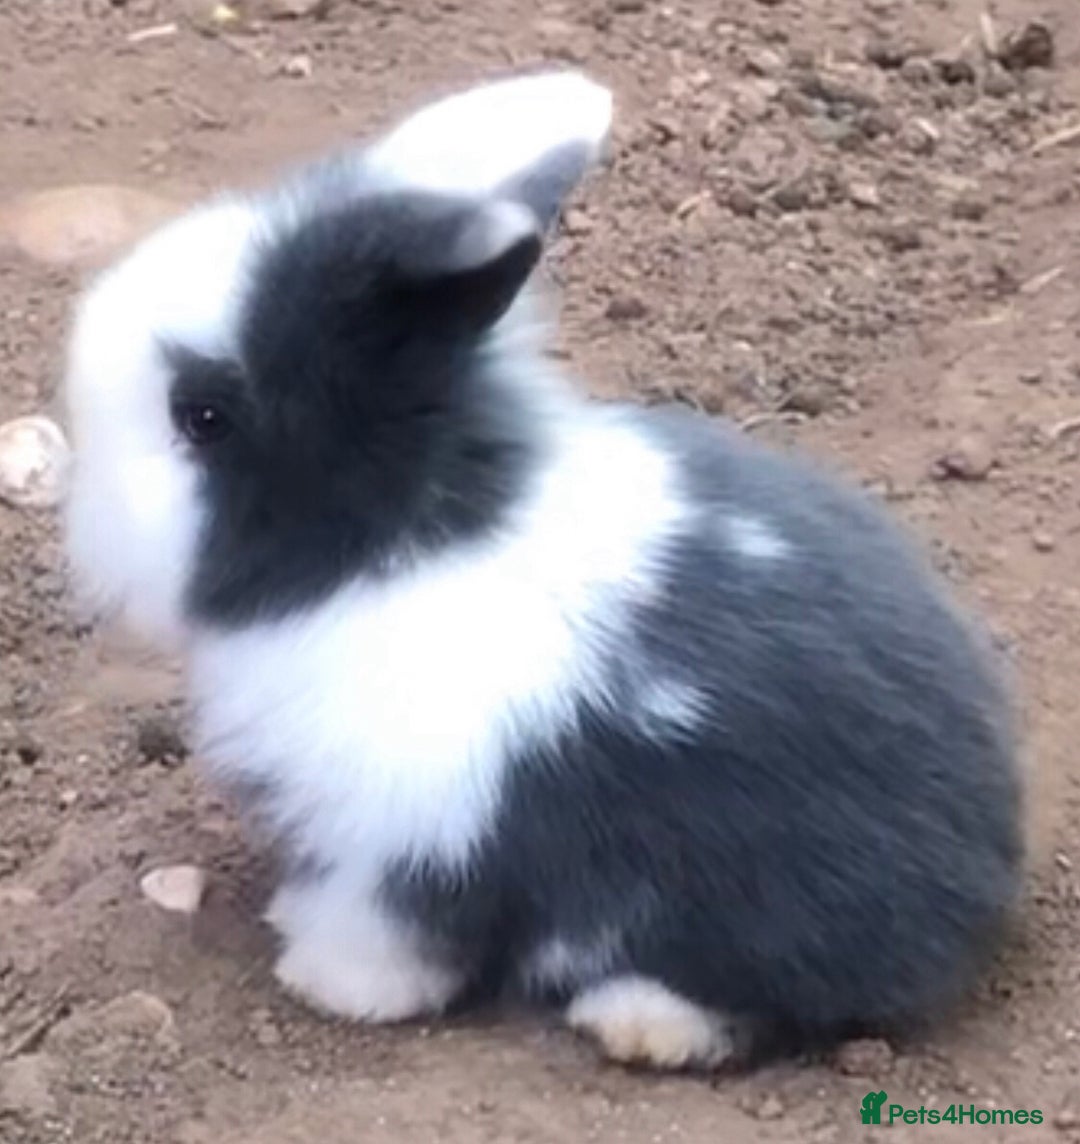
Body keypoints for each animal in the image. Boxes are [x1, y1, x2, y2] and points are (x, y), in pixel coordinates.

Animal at [61, 69, 1023, 1072]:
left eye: (204, 416)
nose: (80, 508)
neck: (403, 541)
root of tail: (982, 880)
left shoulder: (411, 837)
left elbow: (388, 934)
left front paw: (323, 980)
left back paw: (638, 1021)